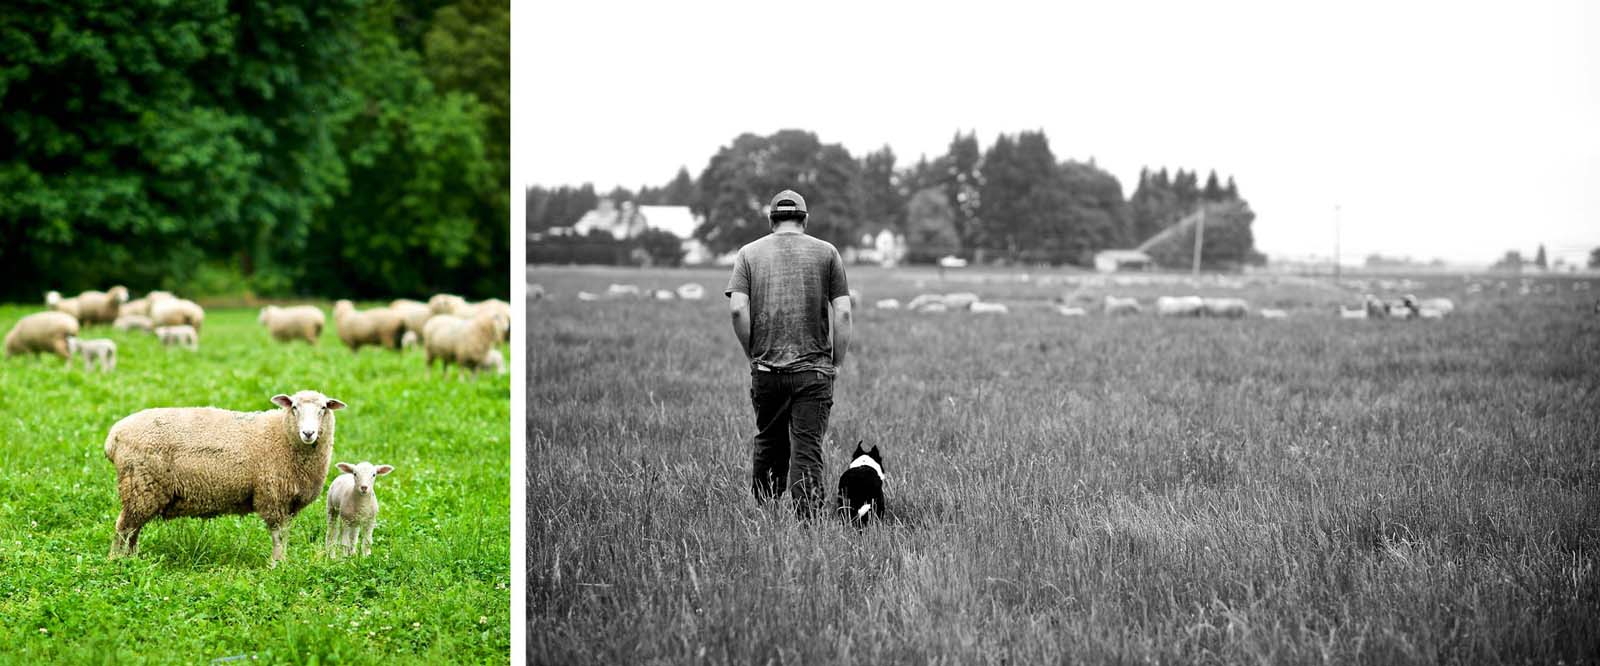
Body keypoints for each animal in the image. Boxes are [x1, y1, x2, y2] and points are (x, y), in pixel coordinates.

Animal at [104, 387, 348, 563]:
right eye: (295, 407)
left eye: (324, 408)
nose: (308, 433)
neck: (282, 435)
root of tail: (113, 436)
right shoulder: (272, 496)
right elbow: (278, 535)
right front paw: (277, 564)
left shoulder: (287, 502)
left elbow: (285, 534)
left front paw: (283, 562)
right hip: (140, 486)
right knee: (123, 527)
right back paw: (116, 561)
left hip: (142, 492)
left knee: (133, 529)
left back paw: (132, 558)